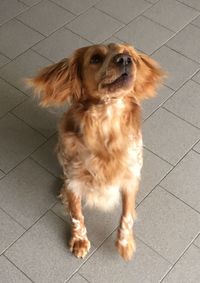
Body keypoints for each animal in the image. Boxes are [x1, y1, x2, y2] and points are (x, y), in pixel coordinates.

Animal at [28, 42, 164, 262]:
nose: (125, 59)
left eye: (129, 54)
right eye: (95, 58)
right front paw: (79, 241)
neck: (106, 124)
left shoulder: (130, 176)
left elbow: (127, 214)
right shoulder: (74, 180)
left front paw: (125, 243)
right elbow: (77, 216)